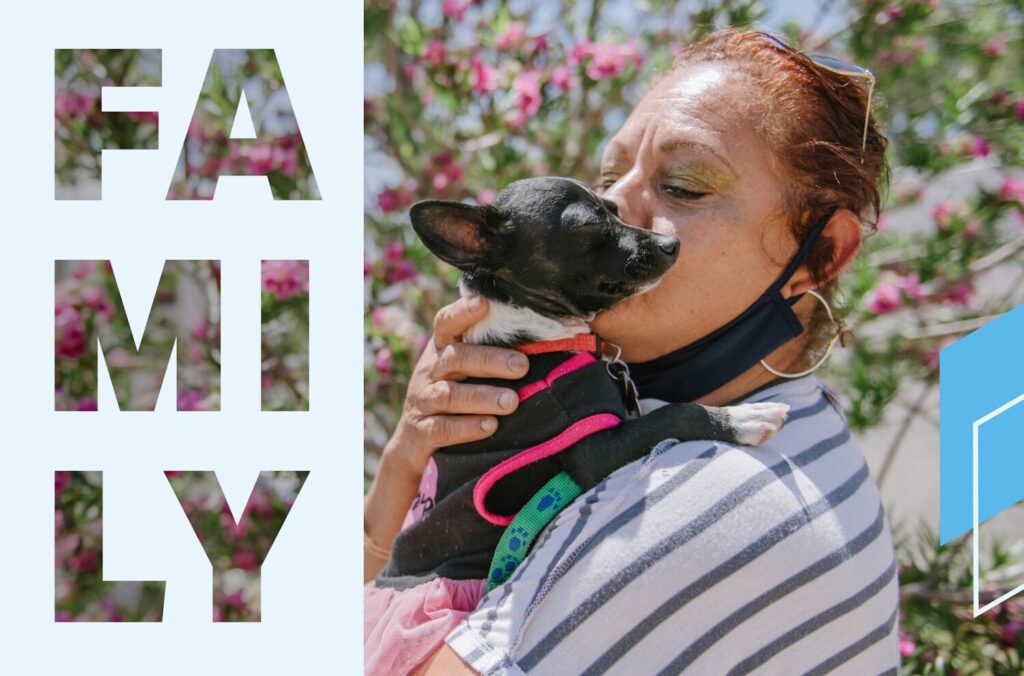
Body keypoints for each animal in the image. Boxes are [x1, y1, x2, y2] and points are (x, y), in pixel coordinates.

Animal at [372, 175, 786, 585]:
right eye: (588, 225)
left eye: (615, 210)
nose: (671, 243)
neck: (540, 334)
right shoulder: (591, 448)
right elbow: (675, 415)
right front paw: (741, 418)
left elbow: (656, 408)